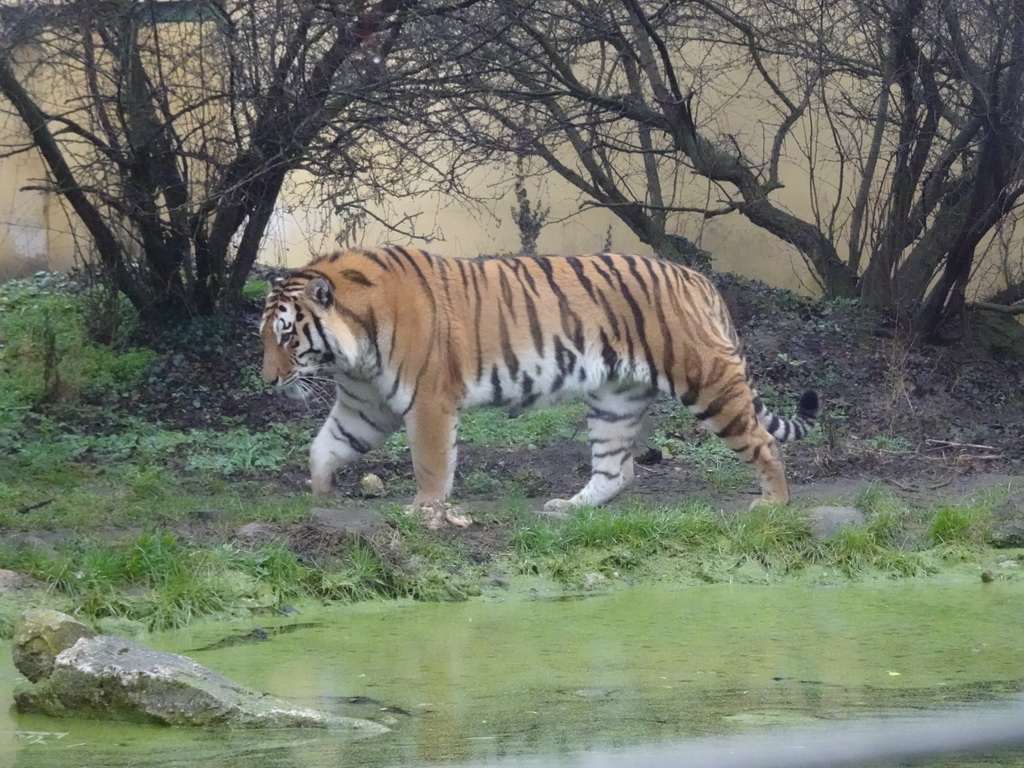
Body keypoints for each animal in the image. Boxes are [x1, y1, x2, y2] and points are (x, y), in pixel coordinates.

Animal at [260, 246, 819, 524]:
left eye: (287, 336)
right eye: (265, 336)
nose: (268, 382)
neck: (352, 352)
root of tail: (700, 280)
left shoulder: (428, 402)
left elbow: (431, 464)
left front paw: (424, 512)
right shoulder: (366, 404)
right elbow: (326, 446)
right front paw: (322, 497)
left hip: (706, 382)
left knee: (763, 442)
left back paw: (774, 503)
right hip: (614, 399)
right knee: (617, 470)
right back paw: (569, 508)